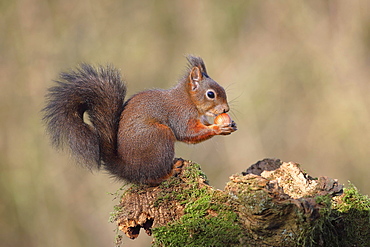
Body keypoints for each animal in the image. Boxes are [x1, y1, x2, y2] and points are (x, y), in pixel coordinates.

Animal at [43, 55, 237, 184]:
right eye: (211, 94)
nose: (226, 109)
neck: (188, 98)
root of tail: (128, 169)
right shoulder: (180, 115)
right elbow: (188, 133)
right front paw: (218, 128)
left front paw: (230, 125)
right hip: (159, 136)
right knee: (151, 178)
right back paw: (170, 171)